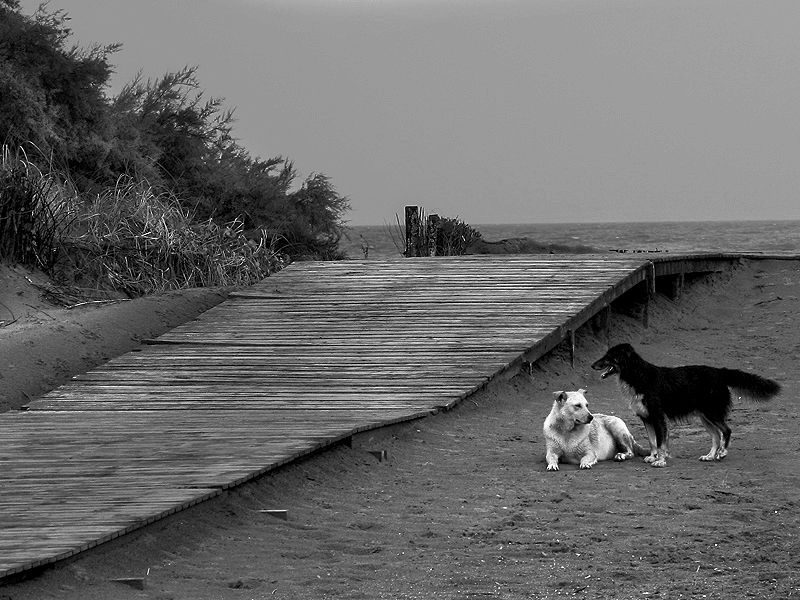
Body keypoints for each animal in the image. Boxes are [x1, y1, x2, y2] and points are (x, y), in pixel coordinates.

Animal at [588, 344, 780, 466]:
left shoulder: (658, 417)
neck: (639, 376)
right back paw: (710, 456)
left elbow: (661, 443)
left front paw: (660, 460)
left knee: (726, 431)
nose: (592, 365)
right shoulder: (647, 418)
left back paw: (722, 453)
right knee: (716, 436)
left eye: (609, 357)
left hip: (712, 413)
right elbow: (652, 442)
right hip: (705, 418)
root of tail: (719, 372)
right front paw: (653, 457)